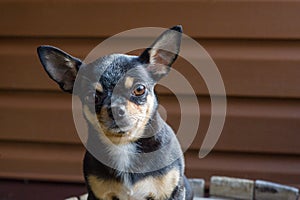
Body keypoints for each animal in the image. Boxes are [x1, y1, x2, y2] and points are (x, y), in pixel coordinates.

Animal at [37, 25, 193, 199]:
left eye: (139, 89)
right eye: (92, 96)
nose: (115, 108)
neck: (123, 144)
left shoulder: (173, 192)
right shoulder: (97, 195)